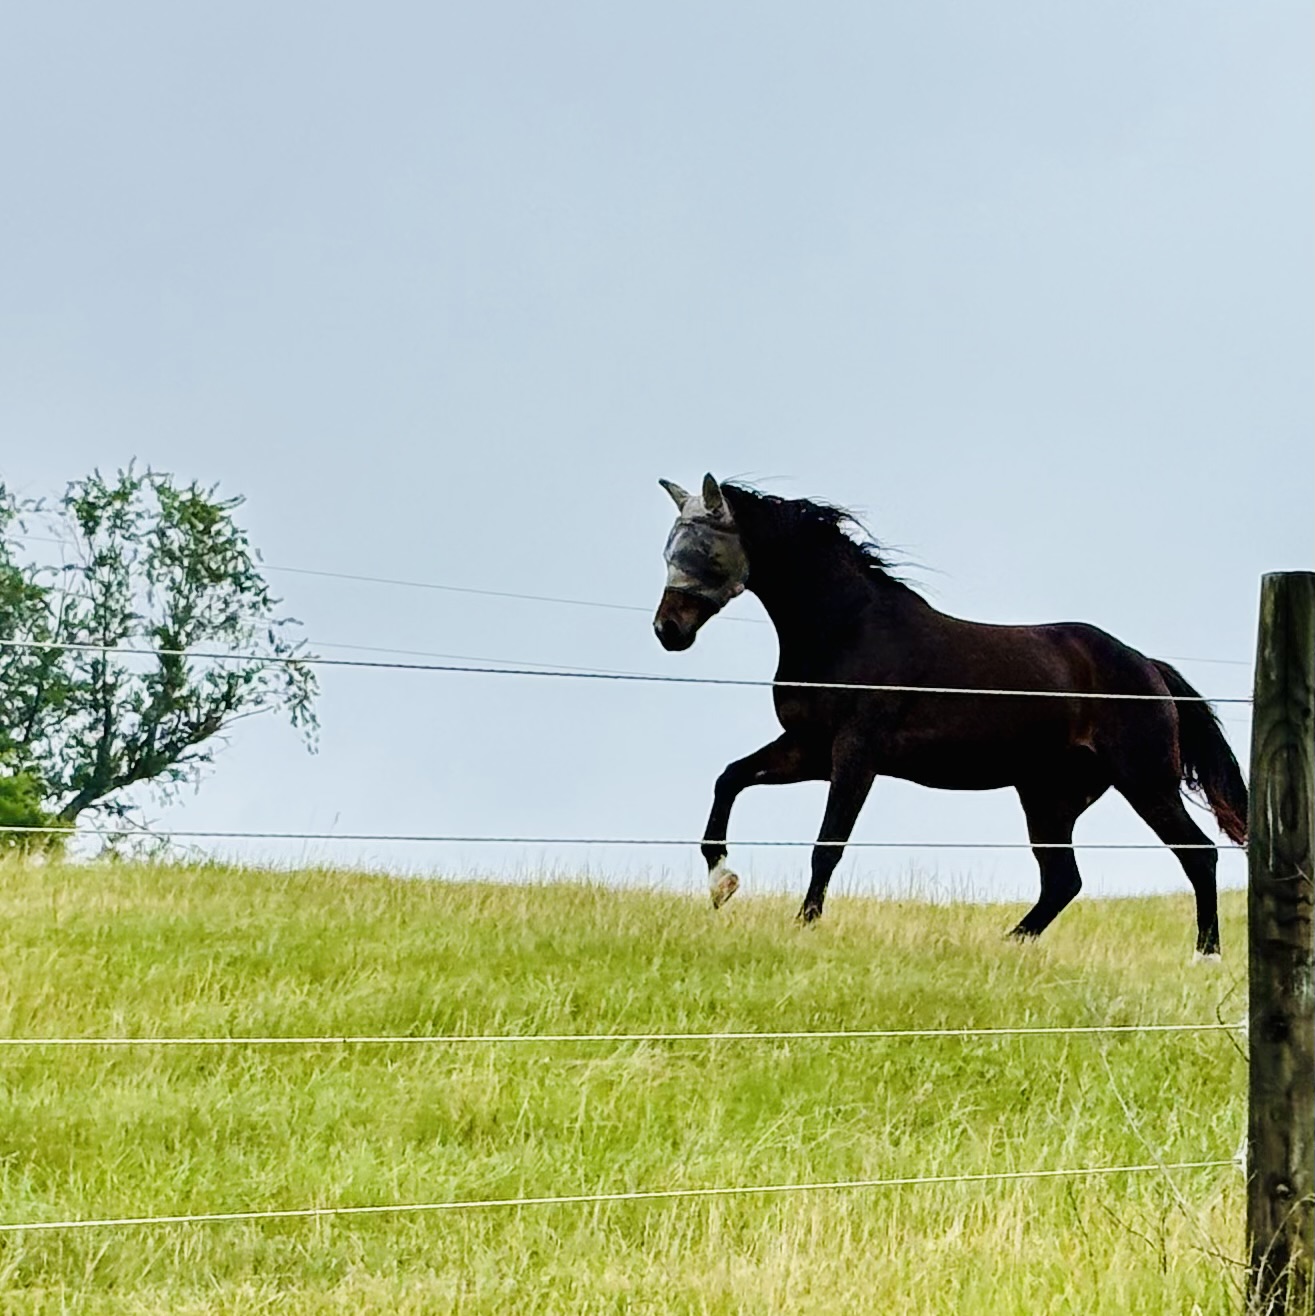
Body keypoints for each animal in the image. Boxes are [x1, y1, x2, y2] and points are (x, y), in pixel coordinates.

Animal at [652, 474, 1248, 958]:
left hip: (1143, 781)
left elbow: (828, 844)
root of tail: (1147, 666)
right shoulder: (809, 749)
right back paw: (1007, 944)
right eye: (667, 551)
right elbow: (729, 779)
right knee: (1063, 880)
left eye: (704, 552)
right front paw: (723, 883)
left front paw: (804, 924)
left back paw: (1206, 955)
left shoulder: (855, 754)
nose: (667, 630)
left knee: (1197, 854)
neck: (846, 629)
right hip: (1049, 796)